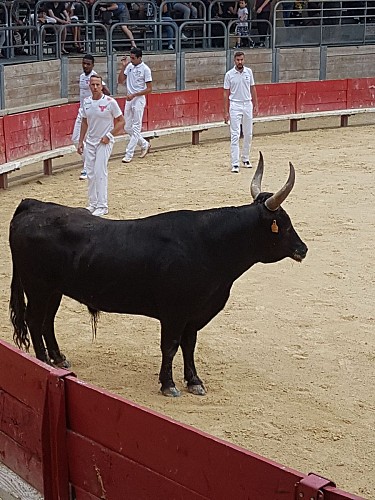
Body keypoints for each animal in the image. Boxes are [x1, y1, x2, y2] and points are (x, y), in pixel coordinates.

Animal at [8, 154, 308, 396]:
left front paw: (194, 381)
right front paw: (169, 384)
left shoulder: (194, 315)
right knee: (34, 321)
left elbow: (189, 345)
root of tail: (32, 205)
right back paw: (43, 361)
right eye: (283, 224)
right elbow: (171, 346)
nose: (303, 249)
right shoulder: (174, 313)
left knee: (47, 322)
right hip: (38, 287)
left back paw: (58, 358)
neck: (208, 245)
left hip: (54, 291)